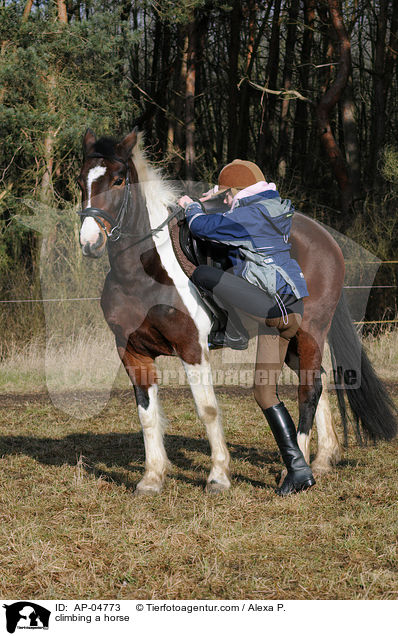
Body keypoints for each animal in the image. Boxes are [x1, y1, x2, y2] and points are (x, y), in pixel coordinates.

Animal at [76, 128, 396, 496]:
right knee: (318, 381)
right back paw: (322, 459)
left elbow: (208, 410)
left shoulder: (192, 349)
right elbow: (147, 415)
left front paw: (218, 476)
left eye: (117, 180)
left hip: (311, 331)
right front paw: (152, 478)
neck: (142, 274)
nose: (89, 242)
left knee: (308, 391)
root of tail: (326, 238)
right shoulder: (131, 352)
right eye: (81, 181)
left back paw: (295, 468)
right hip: (292, 341)